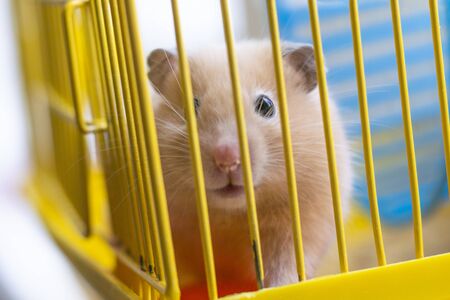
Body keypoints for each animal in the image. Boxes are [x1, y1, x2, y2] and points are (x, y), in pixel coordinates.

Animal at [147, 39, 352, 288]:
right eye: (191, 107)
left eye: (266, 105)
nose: (227, 159)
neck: (232, 211)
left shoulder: (301, 225)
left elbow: (286, 264)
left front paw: (279, 287)